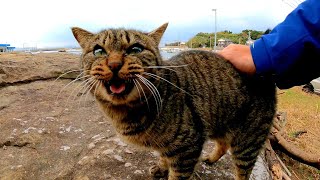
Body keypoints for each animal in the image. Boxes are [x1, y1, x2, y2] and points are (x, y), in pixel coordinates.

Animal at [71, 23, 276, 179]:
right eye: (98, 51)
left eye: (135, 49)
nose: (114, 64)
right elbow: (164, 156)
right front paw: (161, 167)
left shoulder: (188, 147)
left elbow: (177, 175)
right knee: (224, 144)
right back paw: (210, 158)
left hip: (248, 140)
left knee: (243, 171)